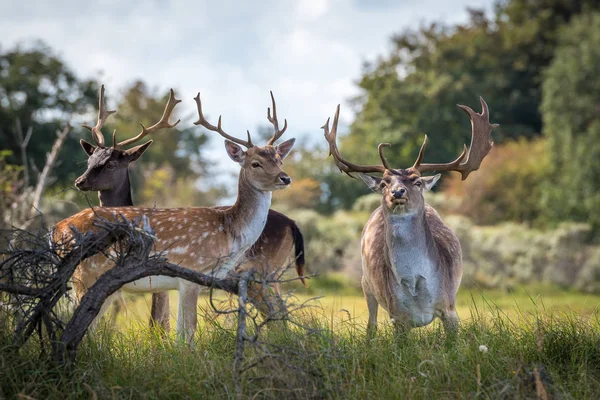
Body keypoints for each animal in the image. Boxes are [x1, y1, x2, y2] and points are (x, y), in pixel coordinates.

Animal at [55, 91, 294, 344]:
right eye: (255, 163)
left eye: (279, 159)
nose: (285, 178)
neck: (229, 233)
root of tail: (54, 230)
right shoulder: (191, 272)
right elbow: (187, 332)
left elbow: (178, 331)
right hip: (84, 274)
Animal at [324, 98, 496, 336]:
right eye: (384, 183)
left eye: (417, 181)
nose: (397, 192)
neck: (416, 285)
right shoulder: (398, 316)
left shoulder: (449, 307)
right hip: (366, 283)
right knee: (371, 324)